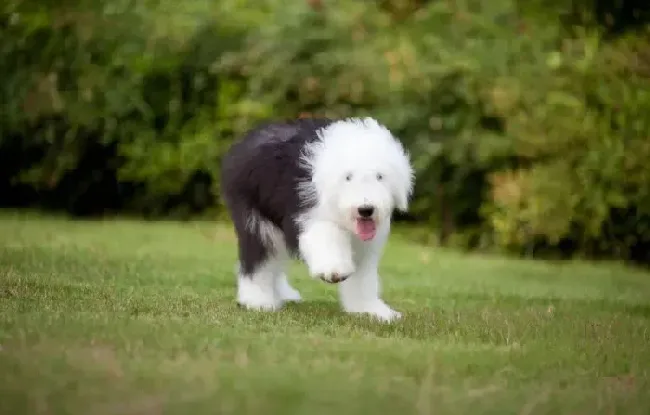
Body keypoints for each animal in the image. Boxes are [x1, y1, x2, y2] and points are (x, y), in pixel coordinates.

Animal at [220, 116, 412, 322]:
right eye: (348, 177)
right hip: (257, 218)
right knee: (260, 260)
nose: (366, 209)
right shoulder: (310, 212)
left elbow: (363, 277)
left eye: (380, 177)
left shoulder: (365, 244)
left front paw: (369, 309)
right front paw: (333, 270)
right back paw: (259, 300)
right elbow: (325, 235)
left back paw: (282, 293)